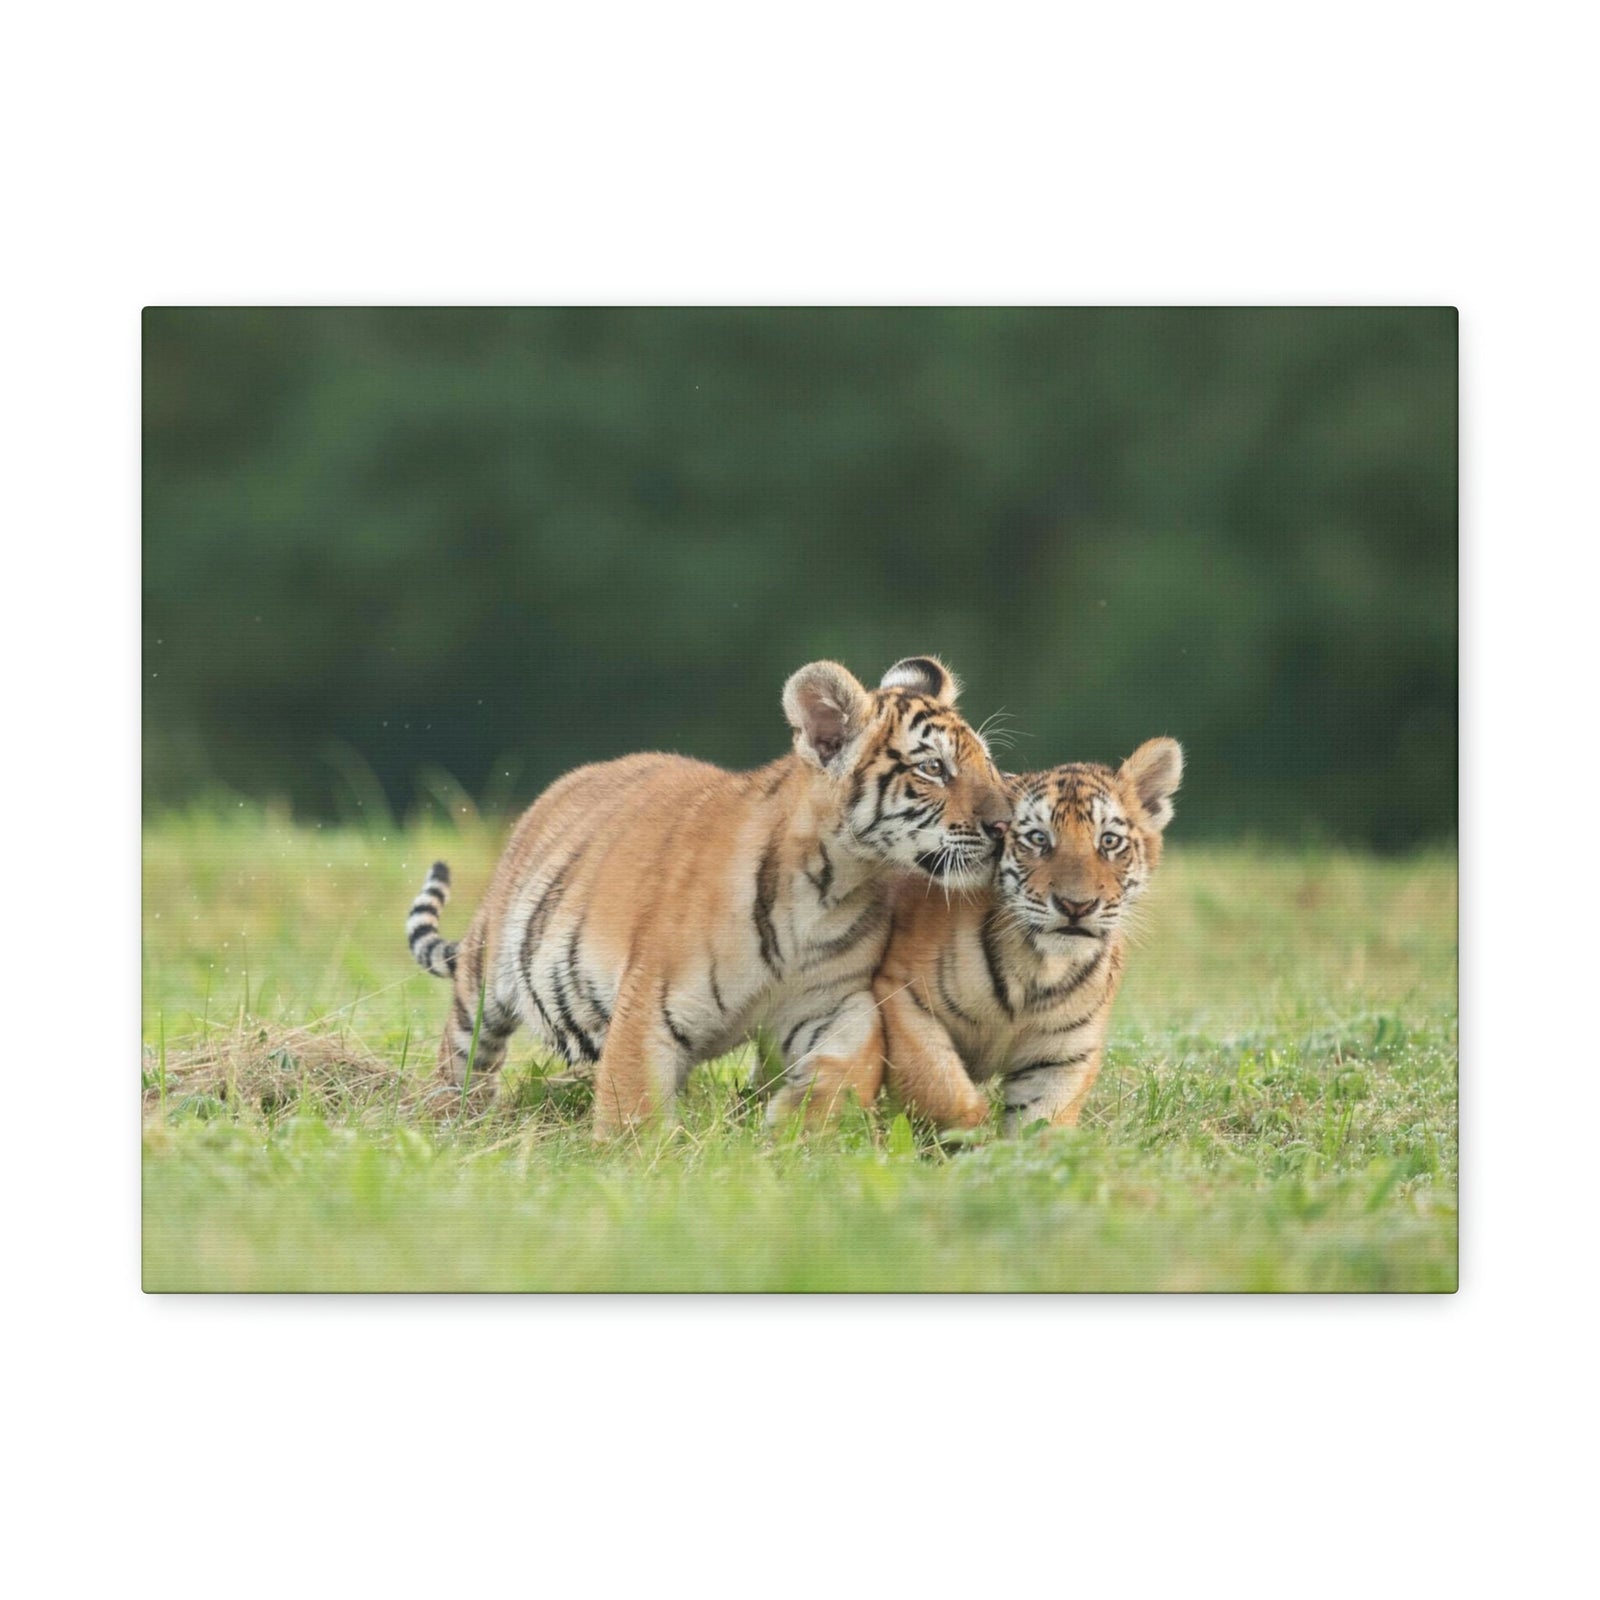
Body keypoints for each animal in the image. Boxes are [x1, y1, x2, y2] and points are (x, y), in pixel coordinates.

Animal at [404, 656, 1011, 1137]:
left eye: (988, 763)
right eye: (933, 768)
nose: (1005, 825)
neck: (833, 886)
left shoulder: (832, 1000)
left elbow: (856, 1059)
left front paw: (802, 1125)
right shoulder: (648, 1007)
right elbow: (635, 1108)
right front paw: (637, 1163)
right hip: (484, 985)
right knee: (462, 1057)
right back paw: (449, 1118)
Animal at [871, 738, 1182, 1135]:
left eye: (1109, 841)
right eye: (1038, 839)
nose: (1076, 905)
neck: (1038, 966)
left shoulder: (1063, 1055)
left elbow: (1042, 1126)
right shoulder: (904, 997)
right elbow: (941, 1089)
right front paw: (972, 1137)